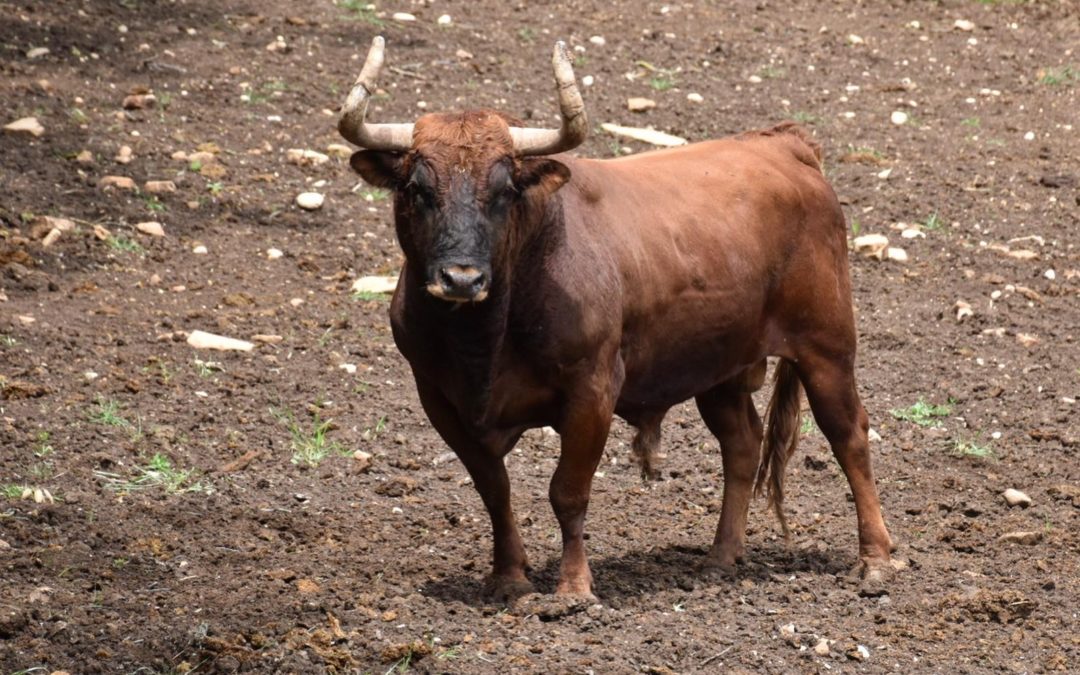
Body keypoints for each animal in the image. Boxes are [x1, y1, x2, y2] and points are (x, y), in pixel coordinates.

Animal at [336, 36, 894, 596]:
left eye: (505, 191)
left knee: (849, 435)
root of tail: (782, 144)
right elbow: (495, 491)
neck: (483, 343)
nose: (461, 278)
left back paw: (875, 559)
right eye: (417, 189)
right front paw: (509, 579)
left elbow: (568, 491)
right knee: (742, 444)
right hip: (719, 366)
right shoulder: (440, 399)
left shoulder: (592, 390)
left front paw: (573, 589)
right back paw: (721, 557)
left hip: (826, 346)